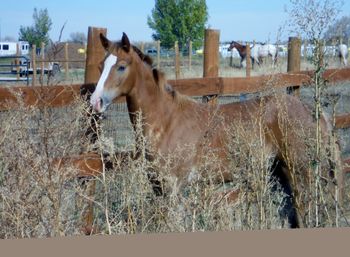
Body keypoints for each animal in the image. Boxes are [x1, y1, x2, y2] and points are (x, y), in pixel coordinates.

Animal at [91, 33, 344, 227]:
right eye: (100, 66)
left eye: (121, 67)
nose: (96, 102)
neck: (166, 120)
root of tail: (312, 110)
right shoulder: (158, 186)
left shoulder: (173, 187)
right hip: (282, 171)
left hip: (300, 170)